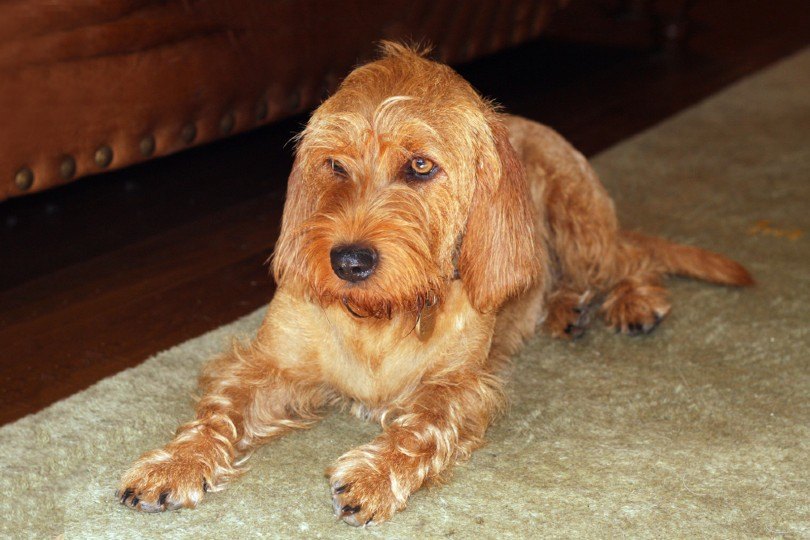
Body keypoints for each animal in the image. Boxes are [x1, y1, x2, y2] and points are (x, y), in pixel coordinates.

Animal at [115, 43, 752, 528]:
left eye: (420, 166)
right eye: (335, 164)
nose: (348, 260)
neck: (380, 317)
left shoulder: (462, 386)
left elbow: (423, 424)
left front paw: (374, 474)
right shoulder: (266, 363)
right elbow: (219, 411)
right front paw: (174, 463)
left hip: (577, 219)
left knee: (626, 257)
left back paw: (633, 300)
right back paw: (567, 310)